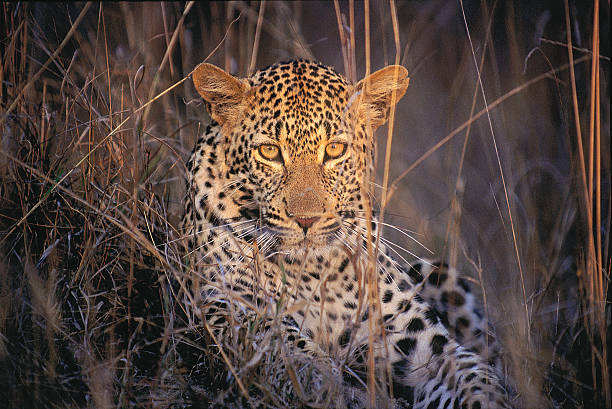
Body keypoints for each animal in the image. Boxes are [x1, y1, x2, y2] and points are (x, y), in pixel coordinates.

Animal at [182, 58, 512, 408]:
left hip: (438, 271)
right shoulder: (227, 304)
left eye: (335, 149)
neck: (313, 272)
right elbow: (280, 341)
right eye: (269, 152)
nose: (306, 220)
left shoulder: (420, 344)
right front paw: (325, 384)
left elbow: (477, 378)